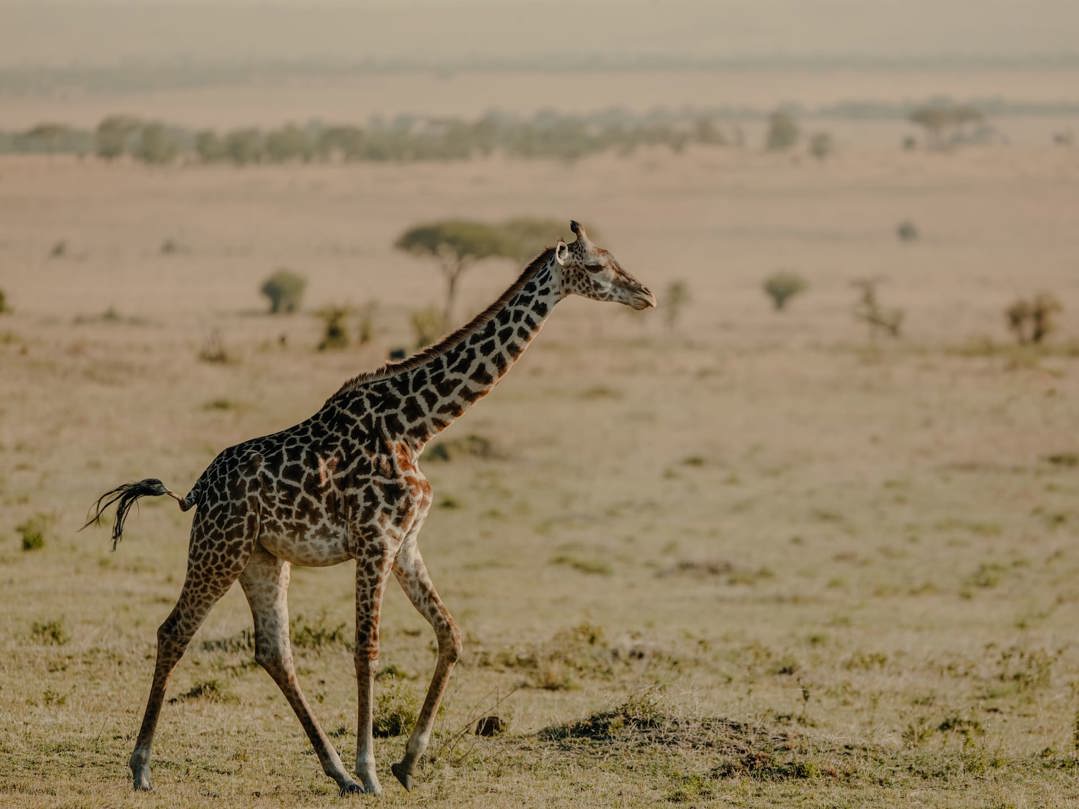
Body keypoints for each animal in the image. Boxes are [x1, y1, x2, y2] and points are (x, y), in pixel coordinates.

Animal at [84, 220, 656, 796]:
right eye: (597, 265)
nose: (645, 294)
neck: (417, 426)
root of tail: (197, 490)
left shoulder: (405, 543)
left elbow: (450, 634)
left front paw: (407, 761)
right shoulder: (375, 541)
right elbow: (367, 651)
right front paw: (373, 769)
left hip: (263, 558)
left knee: (273, 650)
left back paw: (335, 771)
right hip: (219, 548)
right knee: (175, 631)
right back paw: (143, 766)